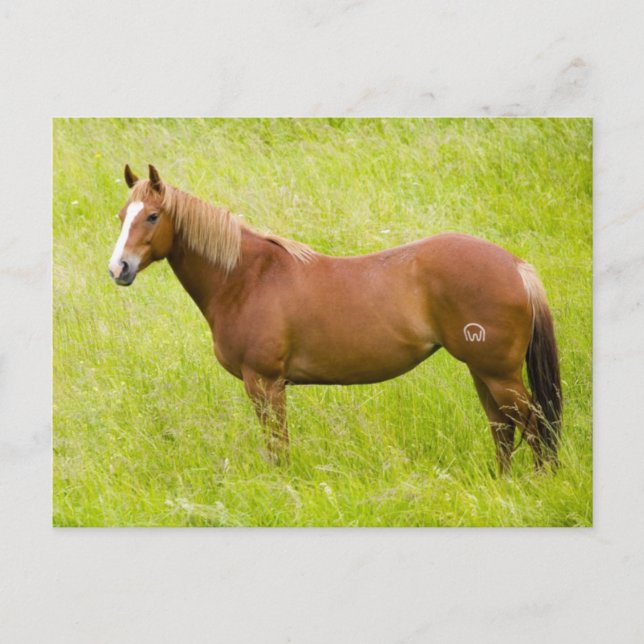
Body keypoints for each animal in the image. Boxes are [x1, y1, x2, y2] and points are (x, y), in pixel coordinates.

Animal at [108, 164, 562, 475]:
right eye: (121, 216)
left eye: (152, 216)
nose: (119, 269)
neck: (247, 277)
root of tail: (515, 265)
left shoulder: (264, 382)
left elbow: (277, 446)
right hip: (481, 371)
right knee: (503, 429)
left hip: (498, 374)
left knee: (534, 427)